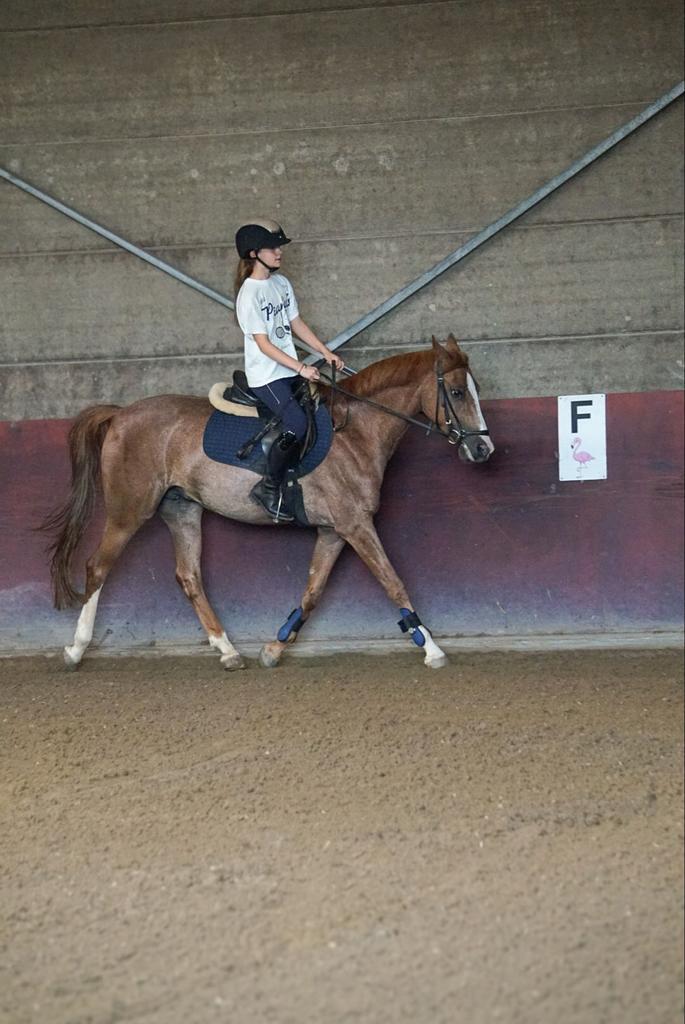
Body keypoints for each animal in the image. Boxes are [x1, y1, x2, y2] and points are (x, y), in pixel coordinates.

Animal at [41, 335, 494, 671]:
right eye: (457, 392)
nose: (483, 449)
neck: (356, 433)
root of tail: (120, 414)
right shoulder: (355, 525)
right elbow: (392, 580)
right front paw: (431, 648)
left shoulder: (334, 530)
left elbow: (313, 590)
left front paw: (274, 649)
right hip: (129, 510)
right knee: (97, 568)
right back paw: (75, 650)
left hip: (182, 509)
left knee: (189, 577)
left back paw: (229, 652)